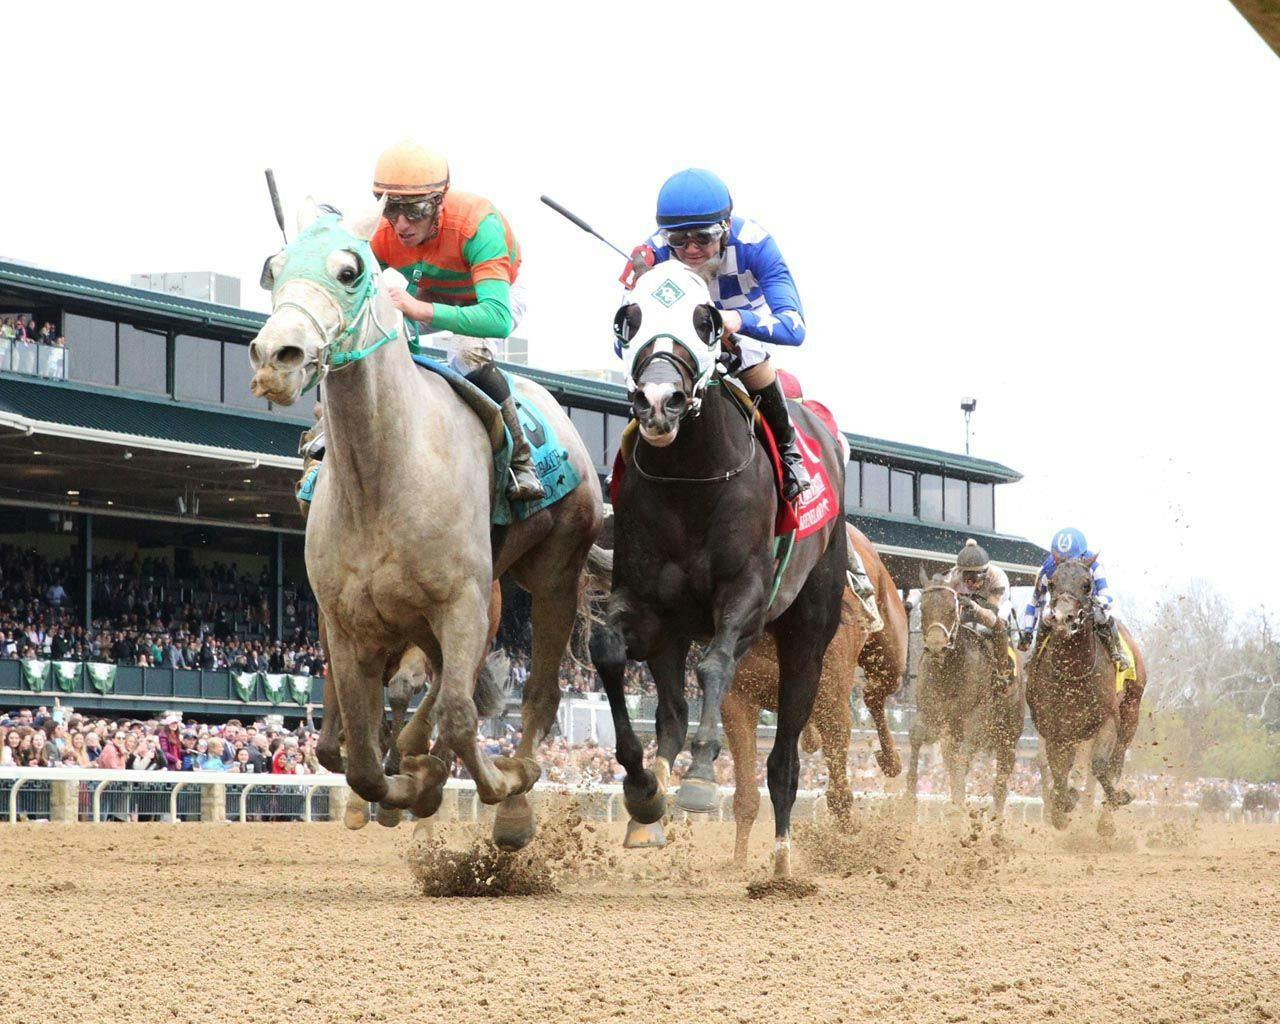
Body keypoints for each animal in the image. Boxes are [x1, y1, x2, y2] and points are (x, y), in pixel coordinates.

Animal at [256, 199, 609, 849]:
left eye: (350, 271)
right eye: (274, 269)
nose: (276, 357)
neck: (382, 478)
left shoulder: (461, 602)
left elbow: (459, 715)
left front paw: (485, 782)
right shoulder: (347, 623)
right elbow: (358, 754)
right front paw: (403, 785)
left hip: (552, 573)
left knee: (537, 694)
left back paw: (512, 795)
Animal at [721, 527, 911, 865]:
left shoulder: (832, 698)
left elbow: (839, 790)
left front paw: (849, 830)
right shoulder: (737, 699)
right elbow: (746, 796)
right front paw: (738, 862)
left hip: (890, 652)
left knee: (874, 694)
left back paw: (891, 759)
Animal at [906, 570, 1024, 819]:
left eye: (952, 609)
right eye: (924, 608)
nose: (936, 645)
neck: (949, 672)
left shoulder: (977, 721)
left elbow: (963, 760)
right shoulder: (930, 714)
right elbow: (917, 736)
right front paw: (908, 799)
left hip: (1008, 736)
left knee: (1000, 782)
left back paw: (996, 824)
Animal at [1024, 555, 1146, 834]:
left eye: (1087, 584)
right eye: (1052, 583)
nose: (1062, 618)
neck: (1074, 671)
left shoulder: (1108, 720)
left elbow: (1100, 765)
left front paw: (1118, 798)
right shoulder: (1056, 730)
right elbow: (1057, 770)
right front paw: (1063, 805)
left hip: (1131, 711)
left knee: (1115, 761)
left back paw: (1105, 821)